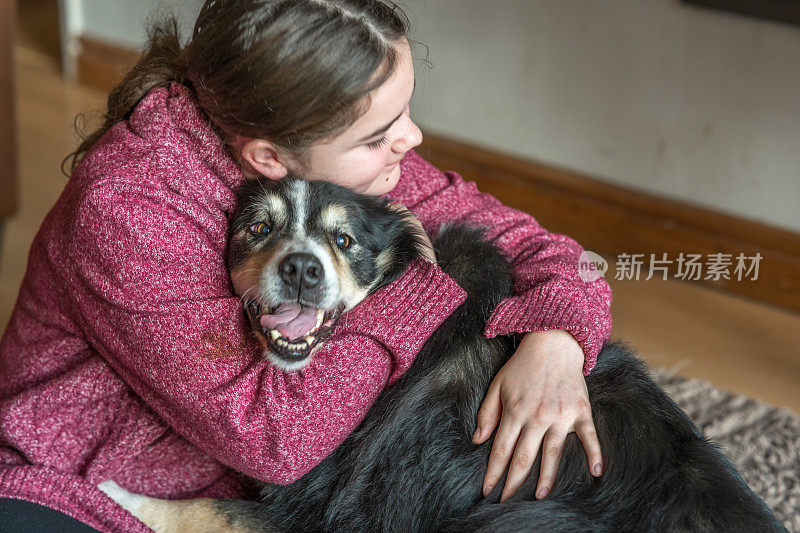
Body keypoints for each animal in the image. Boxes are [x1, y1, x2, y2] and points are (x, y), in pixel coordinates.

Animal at [98, 177, 780, 528]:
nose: (301, 271)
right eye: (257, 228)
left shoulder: (337, 515)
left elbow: (198, 511)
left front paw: (108, 493)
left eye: (344, 241)